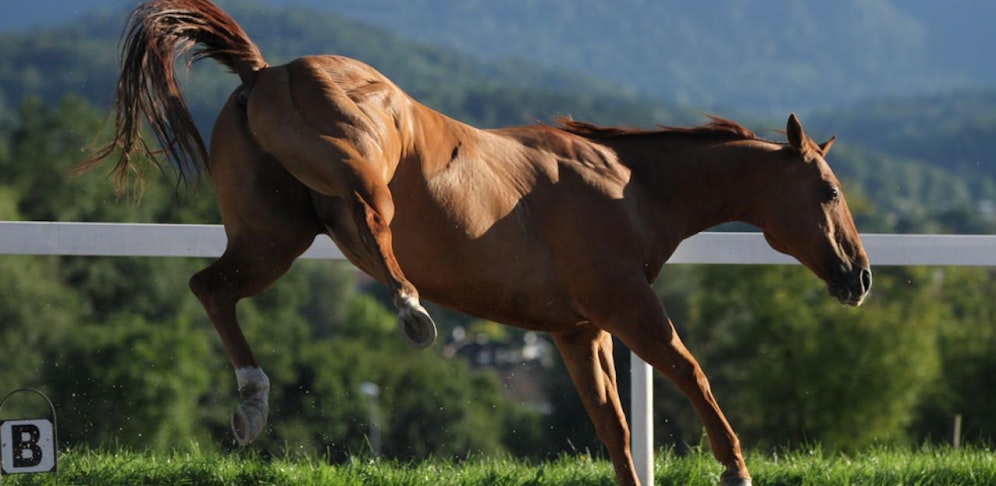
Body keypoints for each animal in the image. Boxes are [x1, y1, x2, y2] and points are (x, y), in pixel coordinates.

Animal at [77, 1, 871, 484]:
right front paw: (736, 467)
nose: (859, 276)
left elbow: (615, 429)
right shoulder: (628, 309)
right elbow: (692, 372)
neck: (629, 186)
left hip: (274, 238)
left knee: (211, 288)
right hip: (354, 179)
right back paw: (410, 310)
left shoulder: (579, 332)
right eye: (829, 193)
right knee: (369, 221)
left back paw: (252, 402)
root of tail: (265, 71)